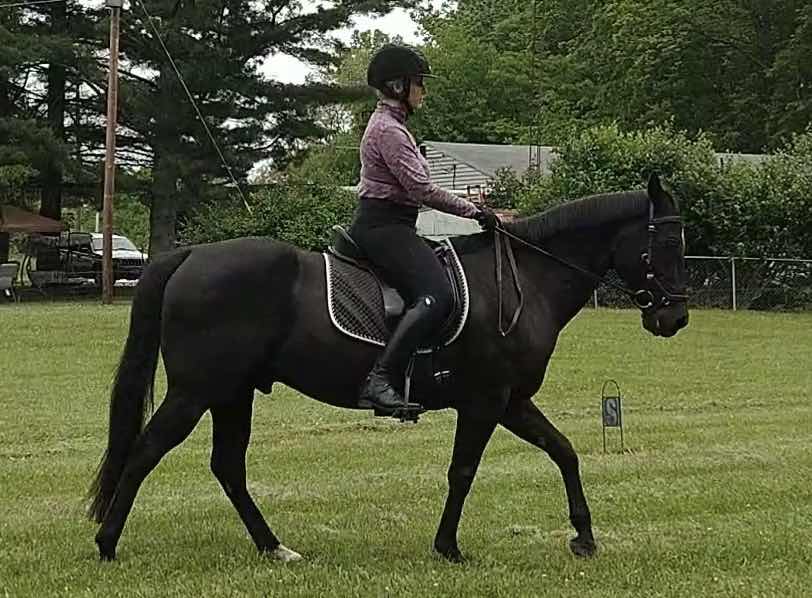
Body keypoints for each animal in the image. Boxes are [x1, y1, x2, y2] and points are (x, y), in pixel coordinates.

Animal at [87, 174, 689, 563]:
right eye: (667, 244)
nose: (676, 317)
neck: (524, 282)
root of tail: (191, 255)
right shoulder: (486, 402)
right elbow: (463, 471)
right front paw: (448, 548)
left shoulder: (512, 401)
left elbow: (564, 451)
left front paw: (583, 537)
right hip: (196, 391)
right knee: (146, 451)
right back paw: (107, 543)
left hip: (233, 394)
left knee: (227, 468)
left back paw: (273, 547)